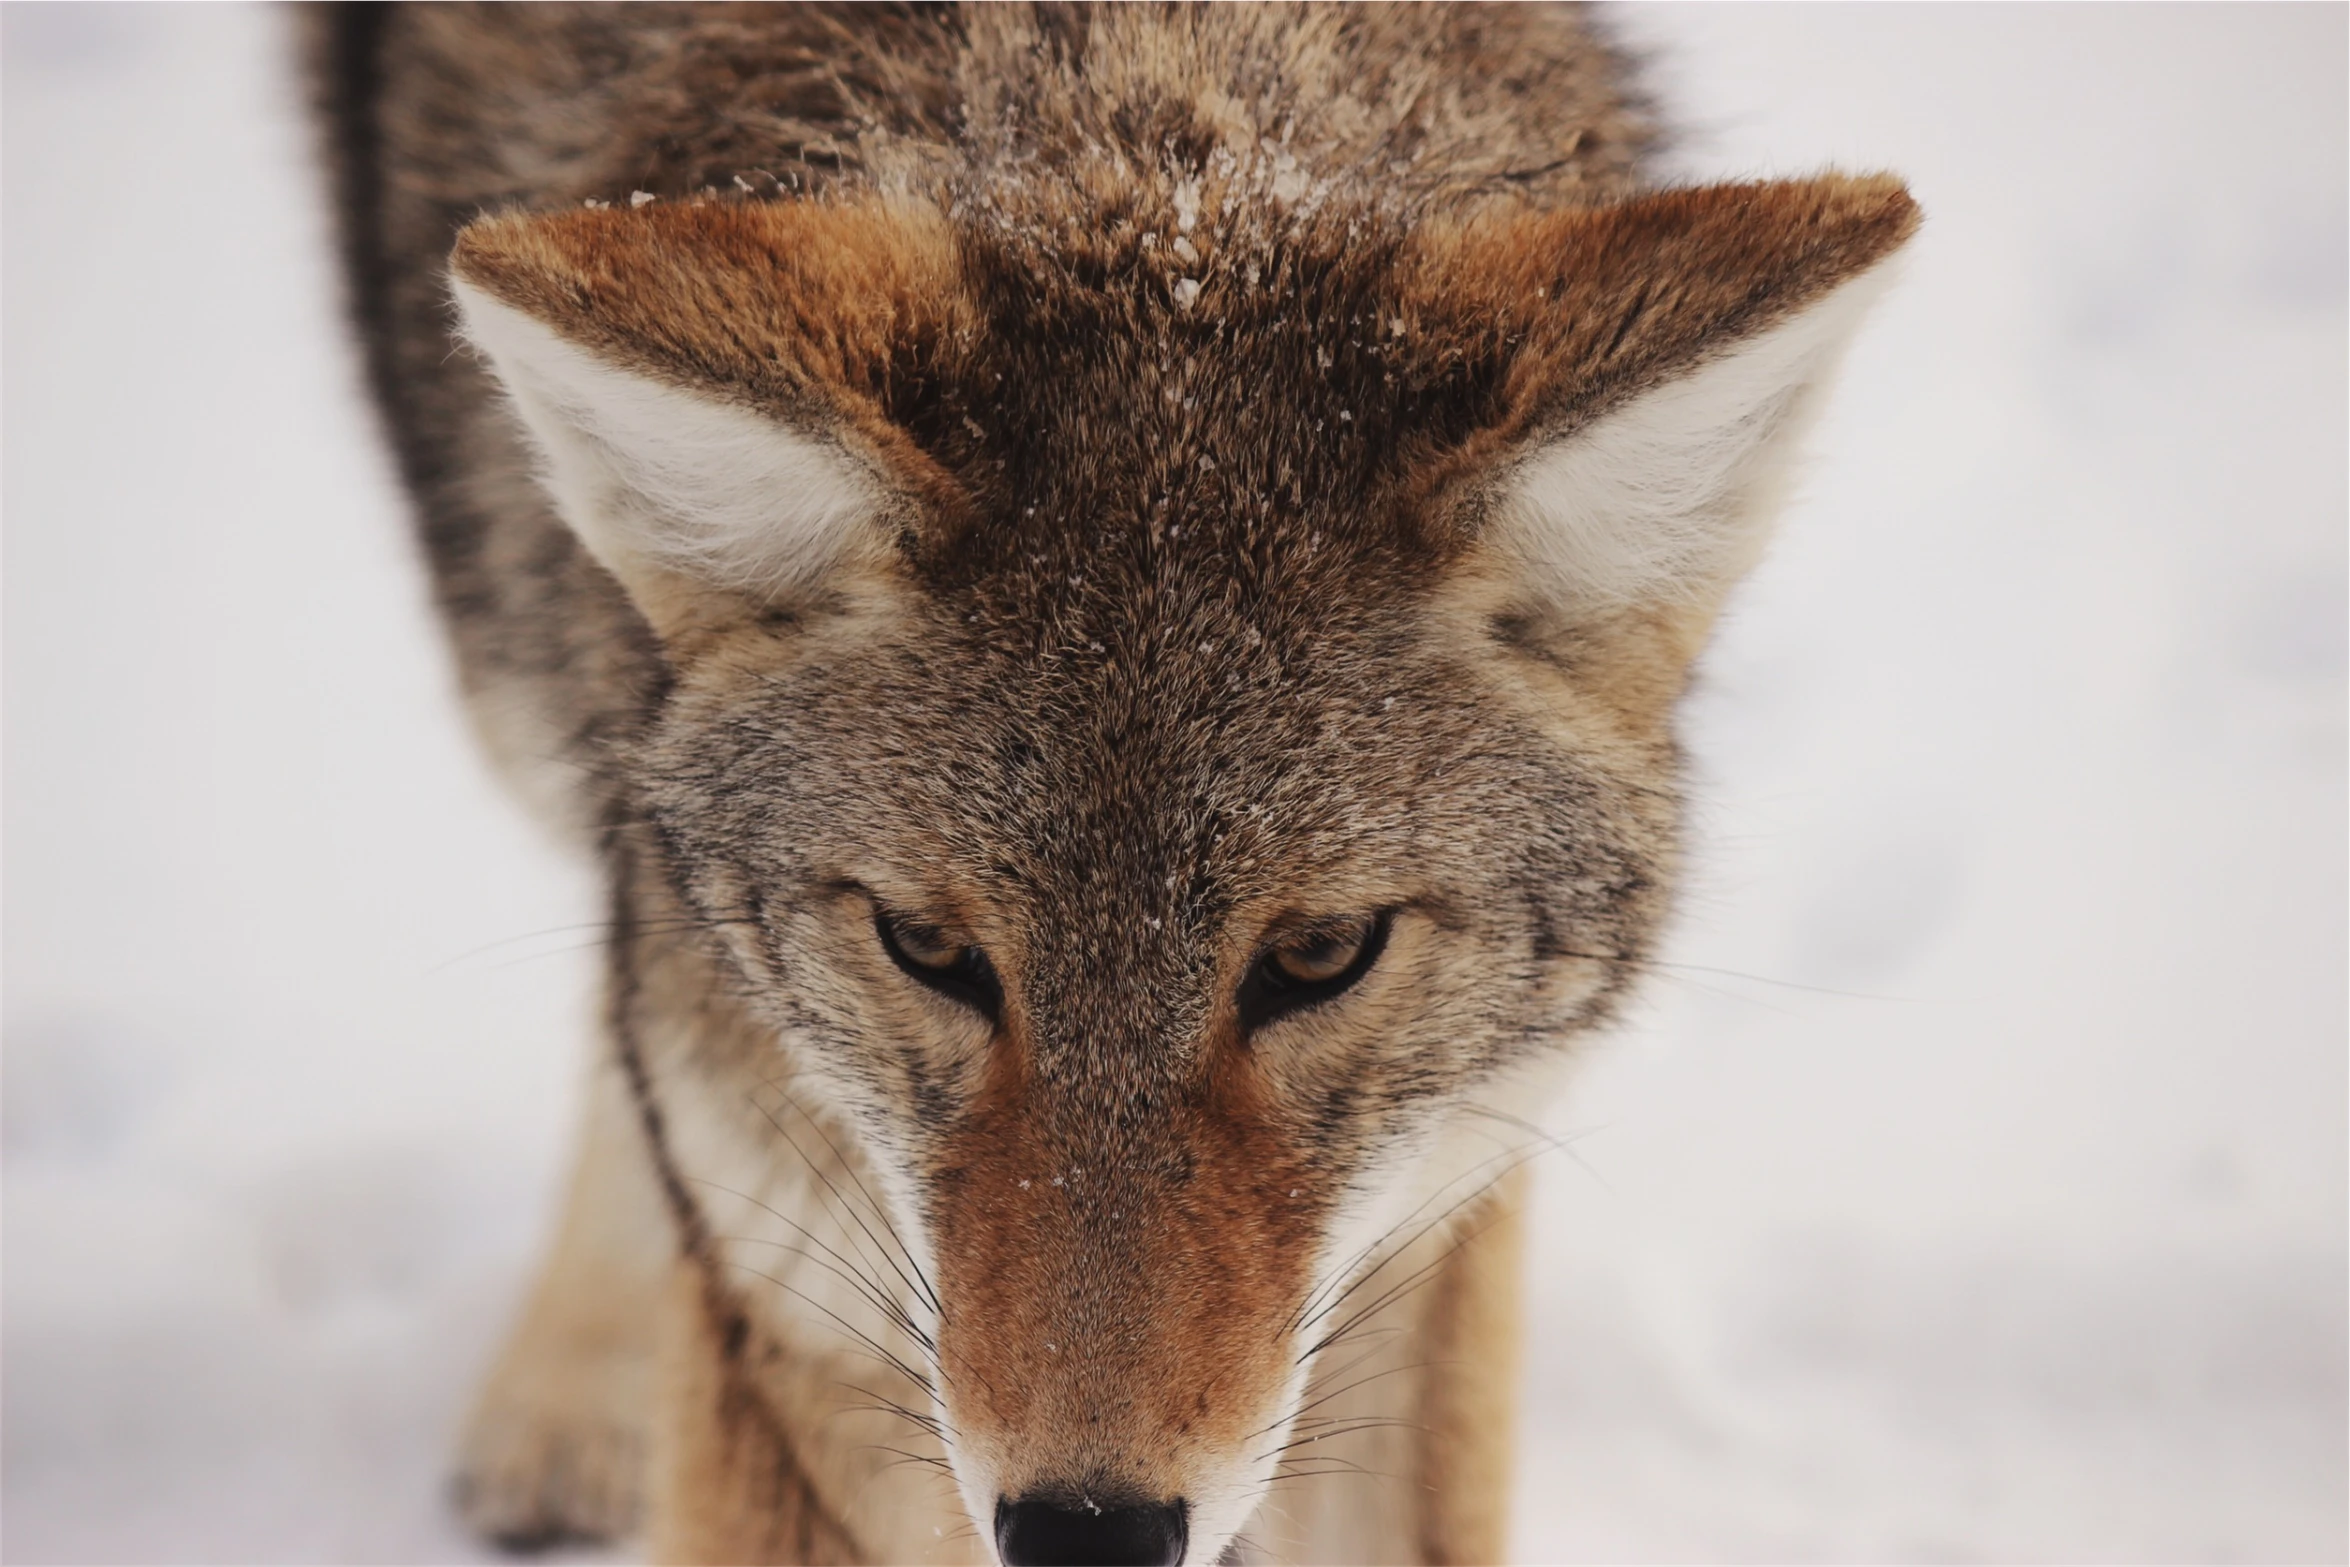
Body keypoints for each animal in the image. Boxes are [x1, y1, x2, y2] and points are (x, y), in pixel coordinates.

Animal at [307, 6, 1908, 1559]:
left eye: (1321, 954)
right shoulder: (807, 1307)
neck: (1145, 96)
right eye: (927, 947)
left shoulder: (1430, 1225)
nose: (1089, 1532)